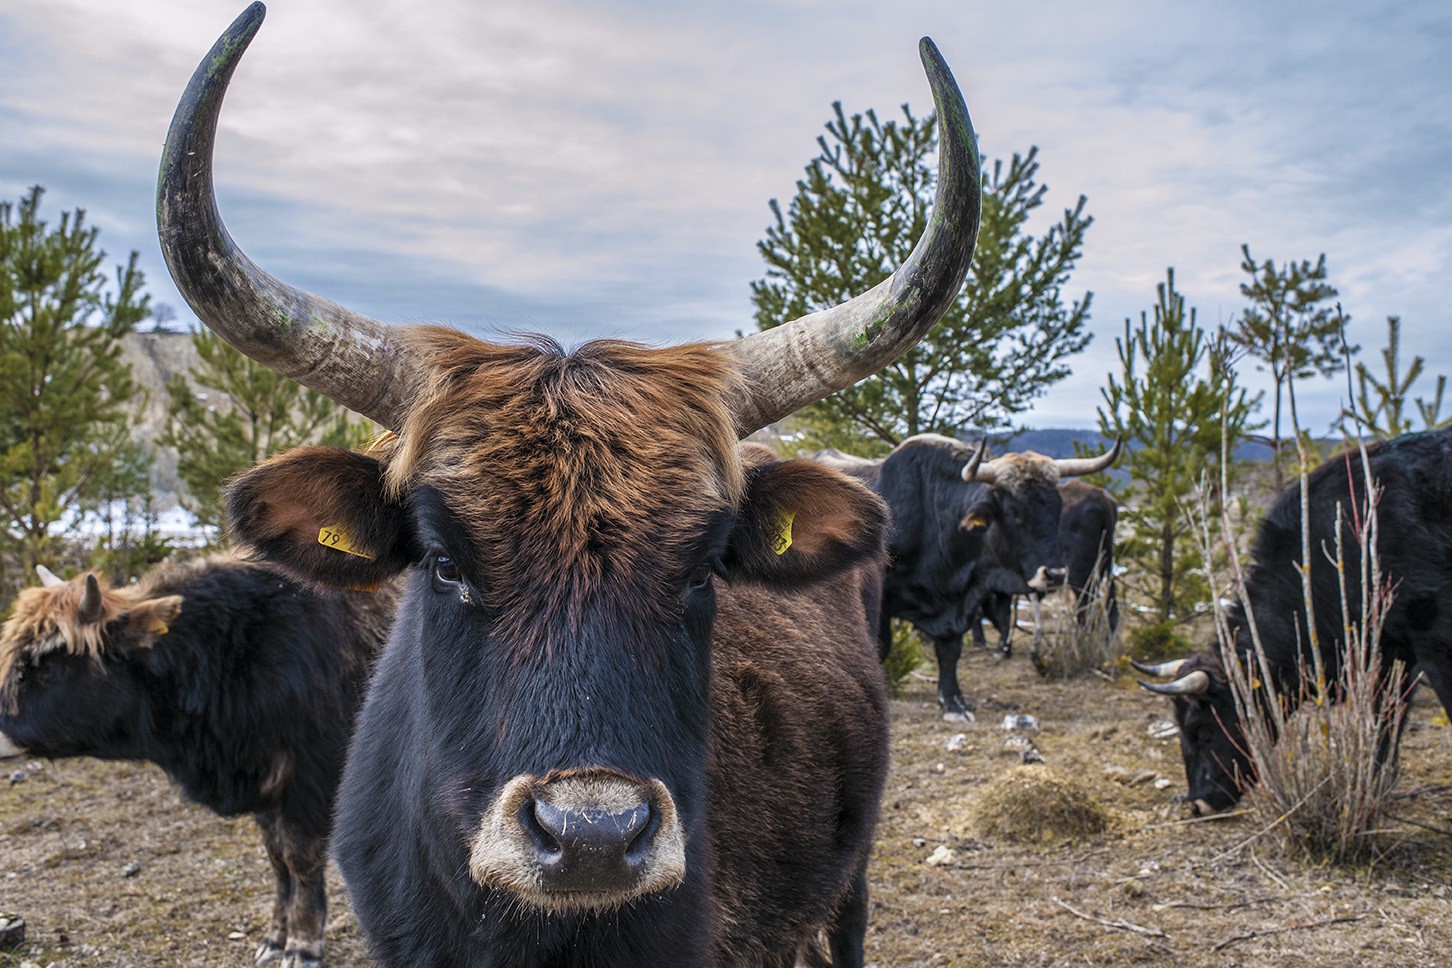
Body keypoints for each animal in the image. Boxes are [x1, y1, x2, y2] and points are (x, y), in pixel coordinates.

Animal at [0, 557, 394, 963]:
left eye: (49, 667)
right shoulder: (266, 786)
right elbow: (277, 861)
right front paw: (274, 938)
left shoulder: (310, 781)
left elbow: (299, 859)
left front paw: (302, 944)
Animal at [859, 435, 1120, 716]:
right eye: (1014, 512)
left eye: (1057, 509)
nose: (1055, 574)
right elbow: (880, 647)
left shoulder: (958, 600)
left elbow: (950, 651)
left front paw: (953, 703)